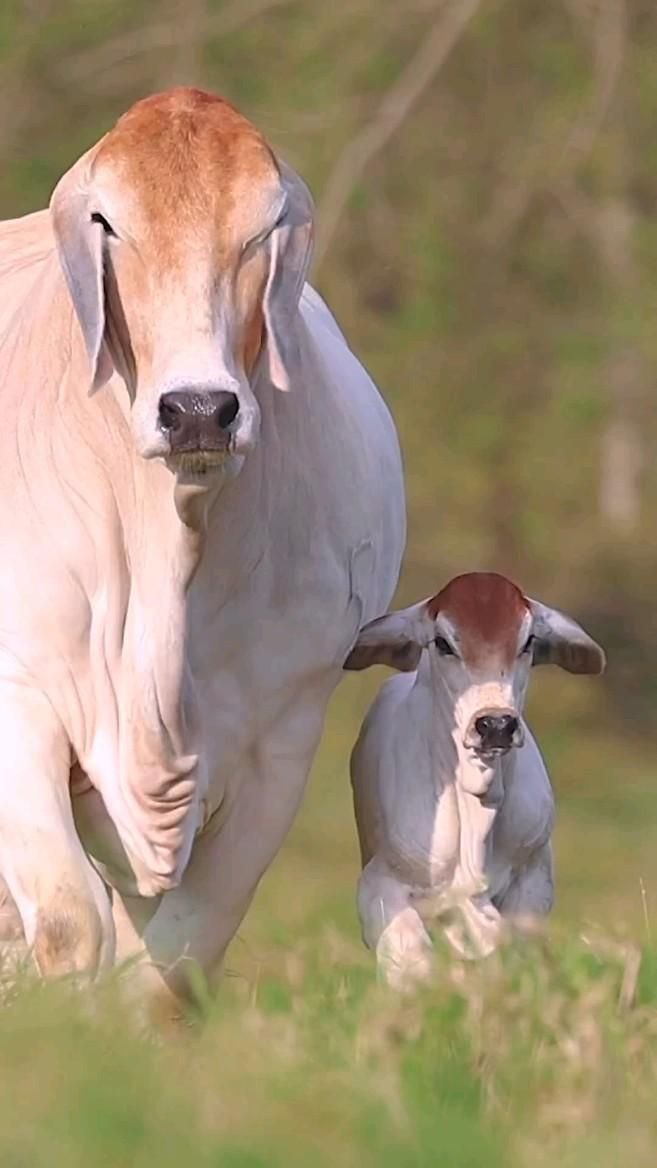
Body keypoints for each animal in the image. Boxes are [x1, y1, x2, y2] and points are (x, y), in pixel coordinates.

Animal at [0, 87, 405, 1011]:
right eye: (108, 221)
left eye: (264, 226)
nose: (196, 411)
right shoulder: (18, 694)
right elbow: (70, 925)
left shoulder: (279, 745)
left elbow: (172, 970)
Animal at [344, 572, 605, 988]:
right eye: (443, 643)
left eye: (528, 641)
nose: (495, 724)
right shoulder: (379, 886)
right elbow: (412, 958)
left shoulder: (532, 882)